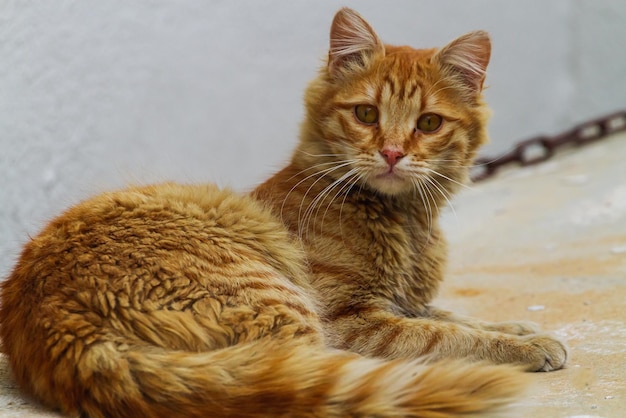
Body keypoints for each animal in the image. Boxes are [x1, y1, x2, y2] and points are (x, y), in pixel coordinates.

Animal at [1, 7, 564, 418]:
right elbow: (446, 334)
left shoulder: (401, 300)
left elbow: (453, 315)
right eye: (366, 114)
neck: (404, 222)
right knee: (309, 375)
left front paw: (519, 329)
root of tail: (53, 320)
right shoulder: (355, 319)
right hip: (283, 302)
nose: (392, 153)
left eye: (428, 123)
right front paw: (523, 348)